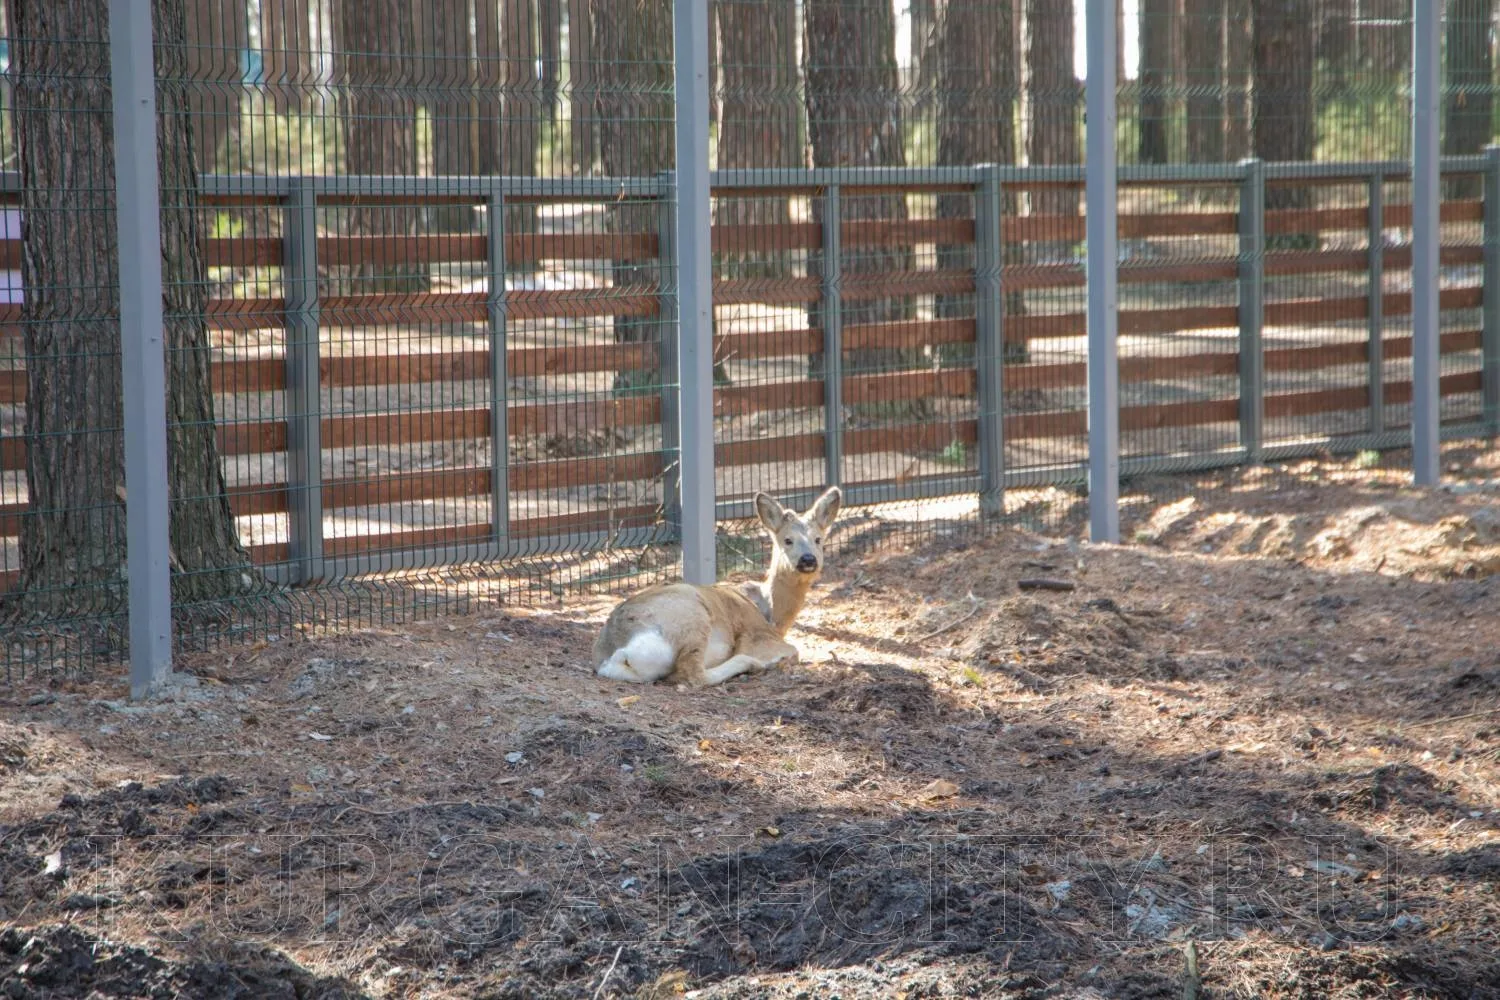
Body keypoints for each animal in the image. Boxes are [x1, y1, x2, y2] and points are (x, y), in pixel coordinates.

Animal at [593, 486, 842, 688]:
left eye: (819, 539)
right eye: (787, 540)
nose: (808, 559)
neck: (770, 612)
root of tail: (616, 654)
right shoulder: (755, 634)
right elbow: (793, 650)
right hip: (690, 617)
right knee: (692, 674)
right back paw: (751, 664)